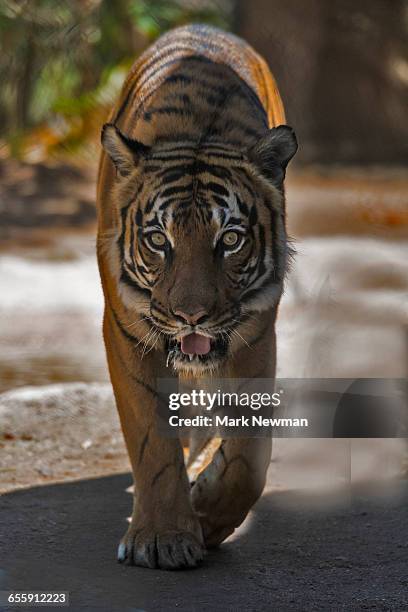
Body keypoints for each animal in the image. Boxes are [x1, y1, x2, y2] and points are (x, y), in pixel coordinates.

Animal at [97, 22, 298, 568]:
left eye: (228, 239)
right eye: (157, 240)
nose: (192, 316)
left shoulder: (255, 330)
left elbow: (249, 455)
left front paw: (206, 512)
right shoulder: (127, 329)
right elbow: (153, 440)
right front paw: (163, 539)